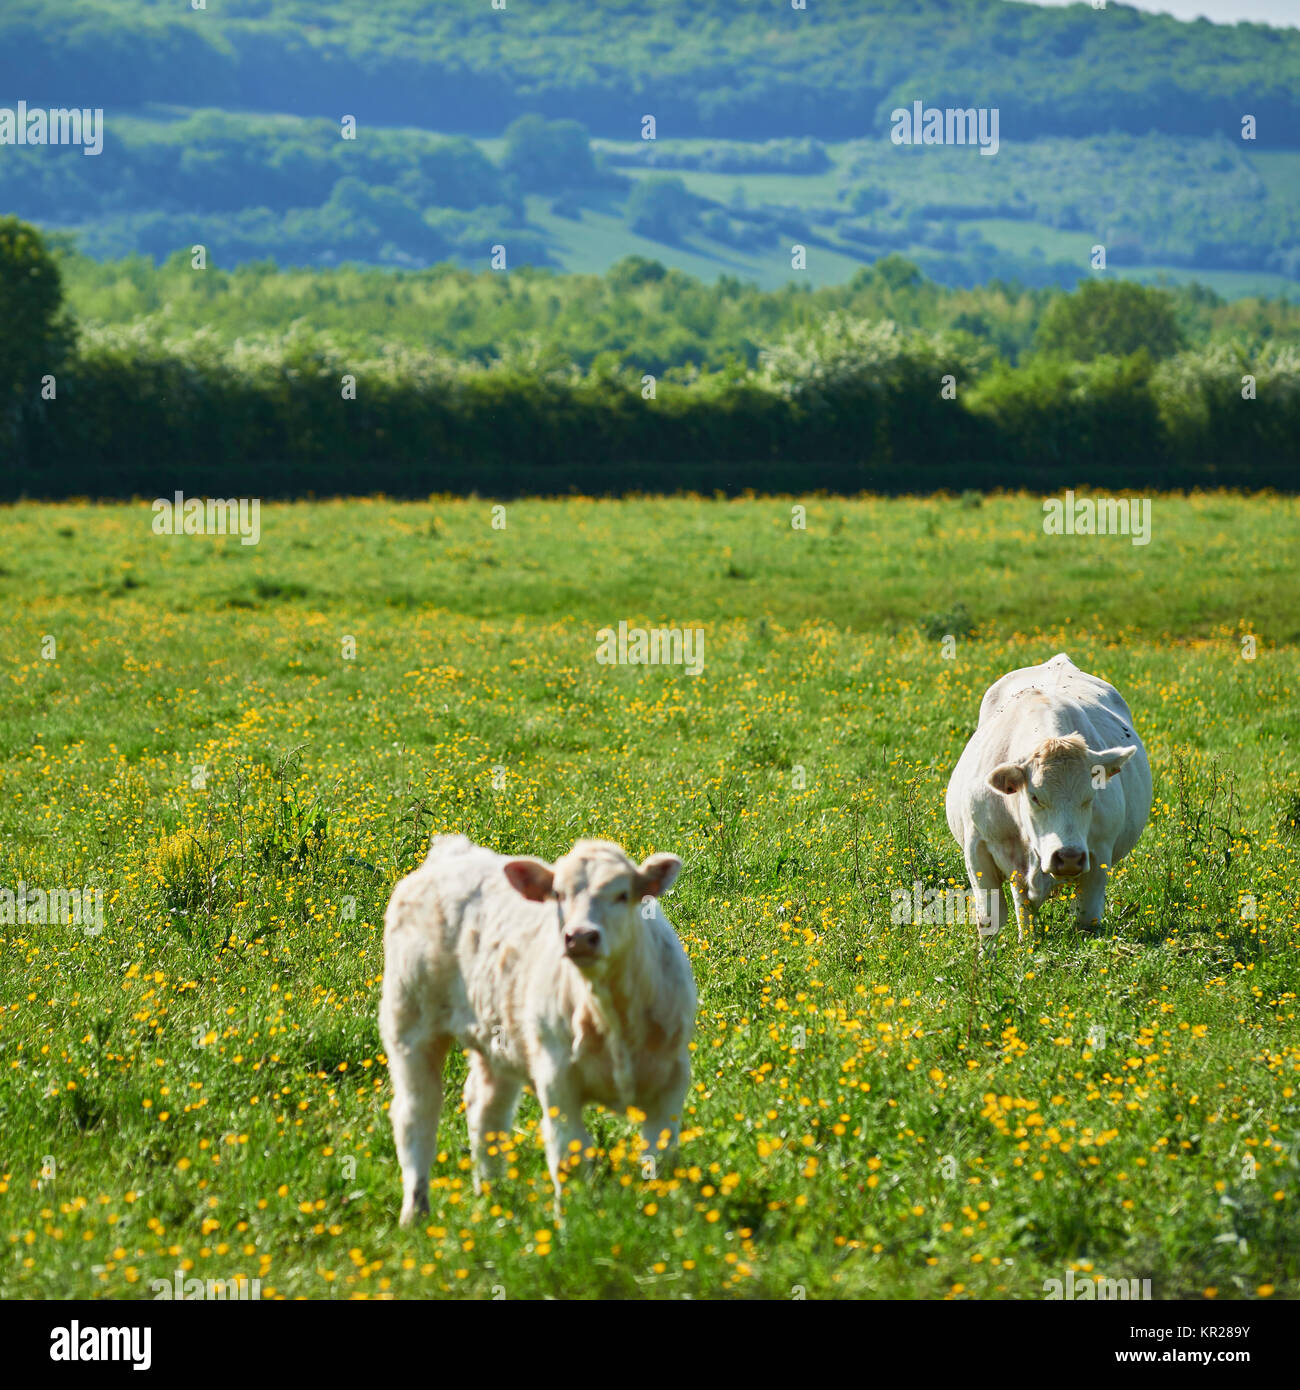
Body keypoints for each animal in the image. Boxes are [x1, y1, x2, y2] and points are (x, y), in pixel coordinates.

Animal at [380, 834, 695, 1217]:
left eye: (622, 894)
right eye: (558, 894)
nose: (580, 937)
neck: (609, 1012)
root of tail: (452, 851)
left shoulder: (672, 1078)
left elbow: (659, 1157)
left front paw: (660, 1213)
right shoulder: (556, 1075)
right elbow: (570, 1155)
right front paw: (571, 1218)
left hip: (495, 1036)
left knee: (486, 1107)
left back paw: (492, 1195)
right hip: (408, 1022)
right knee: (416, 1113)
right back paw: (416, 1212)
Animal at [945, 656, 1151, 950]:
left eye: (1090, 797)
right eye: (1034, 797)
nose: (1069, 857)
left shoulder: (1099, 856)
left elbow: (1087, 920)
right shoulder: (977, 851)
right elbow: (990, 920)